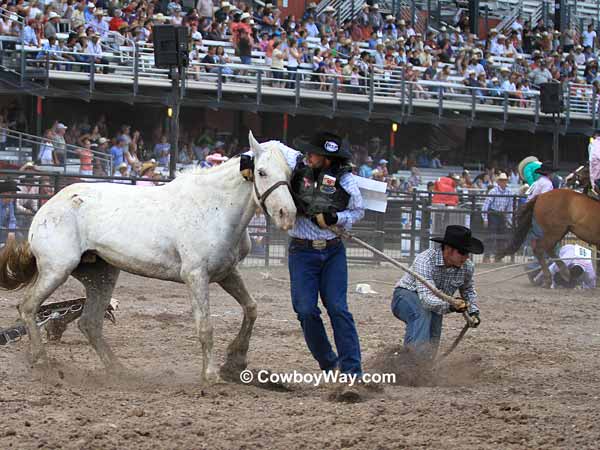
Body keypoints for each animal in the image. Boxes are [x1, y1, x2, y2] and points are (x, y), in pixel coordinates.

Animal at [0, 133, 296, 384]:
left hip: (101, 275)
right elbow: (205, 326)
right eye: (261, 172)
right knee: (28, 307)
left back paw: (119, 370)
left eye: (290, 174)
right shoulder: (196, 276)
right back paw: (41, 361)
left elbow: (251, 308)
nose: (287, 214)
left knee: (90, 323)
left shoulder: (227, 273)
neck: (215, 207)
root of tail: (47, 209)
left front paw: (235, 362)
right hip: (57, 269)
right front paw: (211, 375)